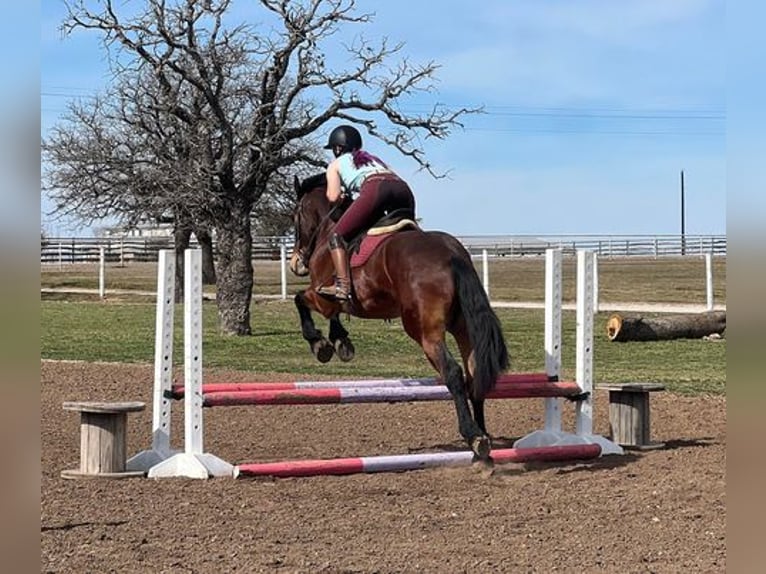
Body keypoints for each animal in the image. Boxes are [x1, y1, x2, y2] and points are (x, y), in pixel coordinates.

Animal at [288, 172, 510, 464]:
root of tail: (452, 254)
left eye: (295, 215)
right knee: (474, 375)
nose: (295, 263)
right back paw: (482, 443)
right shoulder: (334, 302)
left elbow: (300, 300)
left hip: (423, 331)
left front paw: (320, 344)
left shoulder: (323, 297)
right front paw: (340, 341)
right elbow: (335, 313)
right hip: (462, 327)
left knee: (453, 372)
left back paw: (473, 435)